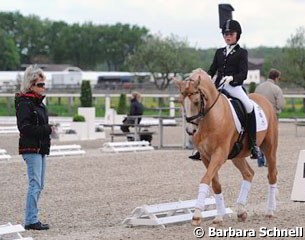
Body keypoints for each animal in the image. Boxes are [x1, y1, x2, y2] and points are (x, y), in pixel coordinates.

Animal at [173, 68, 278, 226]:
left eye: (197, 102)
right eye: (181, 102)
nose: (191, 130)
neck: (211, 118)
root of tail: (265, 101)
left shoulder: (219, 154)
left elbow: (205, 179)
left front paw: (197, 215)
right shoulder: (206, 156)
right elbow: (215, 184)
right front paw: (219, 216)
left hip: (269, 149)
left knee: (271, 175)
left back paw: (270, 211)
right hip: (237, 155)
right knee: (248, 174)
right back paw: (241, 211)